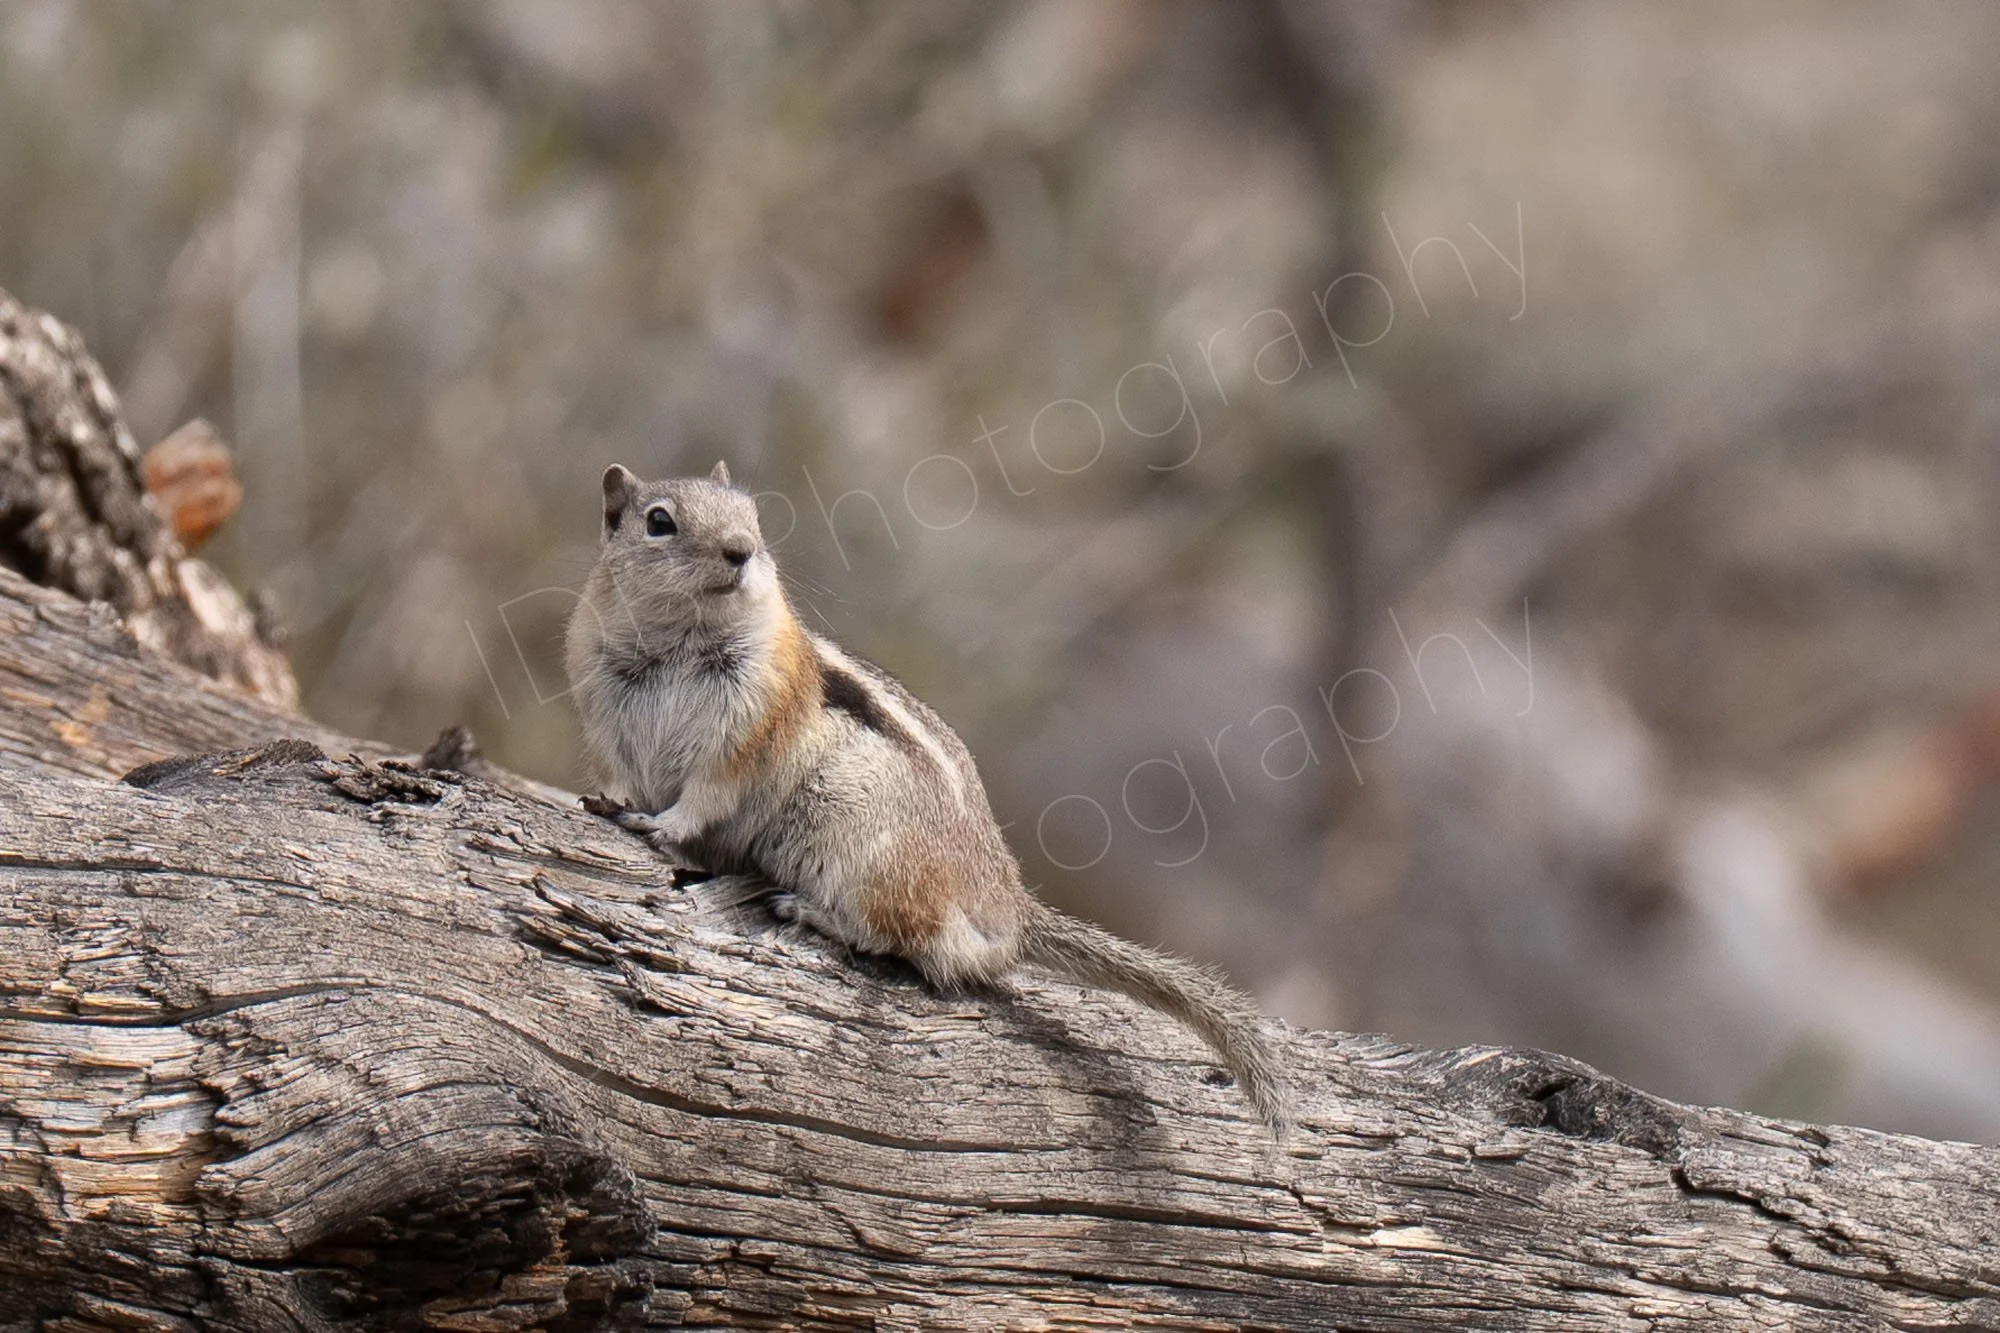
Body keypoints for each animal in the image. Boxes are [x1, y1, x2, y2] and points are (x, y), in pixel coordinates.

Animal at [565, 462, 1293, 1133]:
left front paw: (663, 826)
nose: (742, 550)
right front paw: (608, 803)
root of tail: (1008, 904)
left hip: (867, 856)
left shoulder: (752, 727)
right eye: (659, 521)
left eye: (754, 515)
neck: (680, 639)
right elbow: (623, 776)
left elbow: (710, 793)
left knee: (901, 936)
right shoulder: (607, 715)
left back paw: (812, 911)